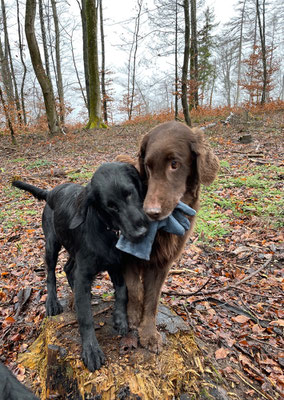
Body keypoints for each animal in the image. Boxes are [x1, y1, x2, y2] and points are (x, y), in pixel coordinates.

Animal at [12, 161, 149, 370]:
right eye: (110, 206)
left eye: (130, 193)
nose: (140, 233)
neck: (107, 231)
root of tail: (51, 192)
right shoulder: (85, 273)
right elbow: (85, 317)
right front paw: (91, 350)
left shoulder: (115, 264)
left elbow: (123, 290)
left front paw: (120, 318)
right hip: (52, 244)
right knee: (51, 273)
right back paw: (52, 303)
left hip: (73, 250)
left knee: (68, 269)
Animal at [117, 120, 220, 352]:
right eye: (147, 166)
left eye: (174, 164)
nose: (151, 212)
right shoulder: (127, 254)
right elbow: (136, 289)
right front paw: (133, 316)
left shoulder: (162, 263)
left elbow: (152, 300)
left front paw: (148, 334)